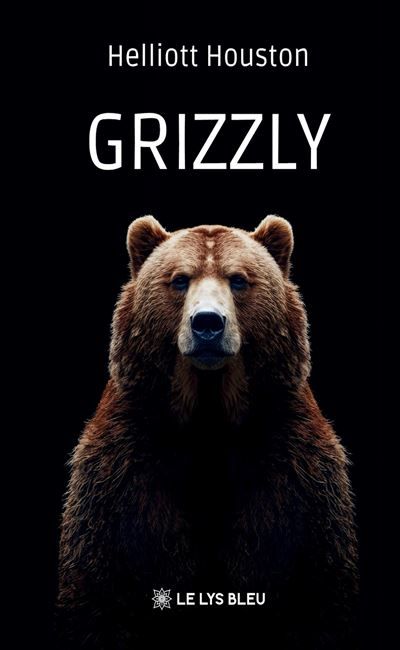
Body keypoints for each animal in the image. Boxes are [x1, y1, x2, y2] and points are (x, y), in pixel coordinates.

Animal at [57, 215, 358, 649]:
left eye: (239, 280)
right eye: (179, 279)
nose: (208, 324)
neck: (209, 414)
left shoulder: (296, 465)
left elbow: (320, 578)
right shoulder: (121, 468)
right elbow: (98, 581)